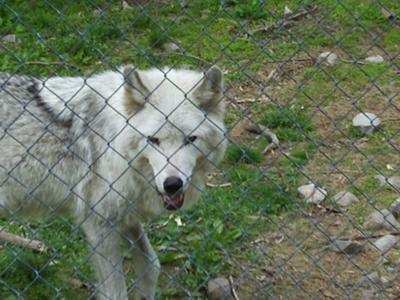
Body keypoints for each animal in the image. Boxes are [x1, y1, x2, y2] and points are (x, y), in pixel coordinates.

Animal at [0, 66, 227, 300]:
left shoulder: (127, 216)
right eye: (153, 140)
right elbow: (115, 292)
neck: (114, 140)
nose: (172, 184)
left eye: (190, 139)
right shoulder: (100, 224)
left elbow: (151, 266)